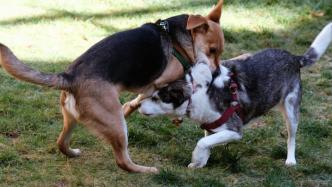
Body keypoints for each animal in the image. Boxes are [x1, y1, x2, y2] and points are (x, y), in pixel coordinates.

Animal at [0, 0, 226, 173]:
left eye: (220, 52)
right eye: (212, 50)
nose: (216, 73)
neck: (177, 38)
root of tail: (70, 76)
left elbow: (139, 101)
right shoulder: (158, 82)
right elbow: (167, 93)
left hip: (72, 119)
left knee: (61, 143)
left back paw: (72, 152)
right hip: (117, 126)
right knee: (122, 161)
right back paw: (146, 170)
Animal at [138, 22, 332, 169]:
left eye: (157, 98)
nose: (138, 107)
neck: (197, 90)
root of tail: (294, 58)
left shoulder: (235, 130)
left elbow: (202, 143)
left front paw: (196, 158)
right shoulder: (211, 125)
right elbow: (207, 143)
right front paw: (200, 163)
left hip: (291, 110)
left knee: (291, 138)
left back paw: (290, 160)